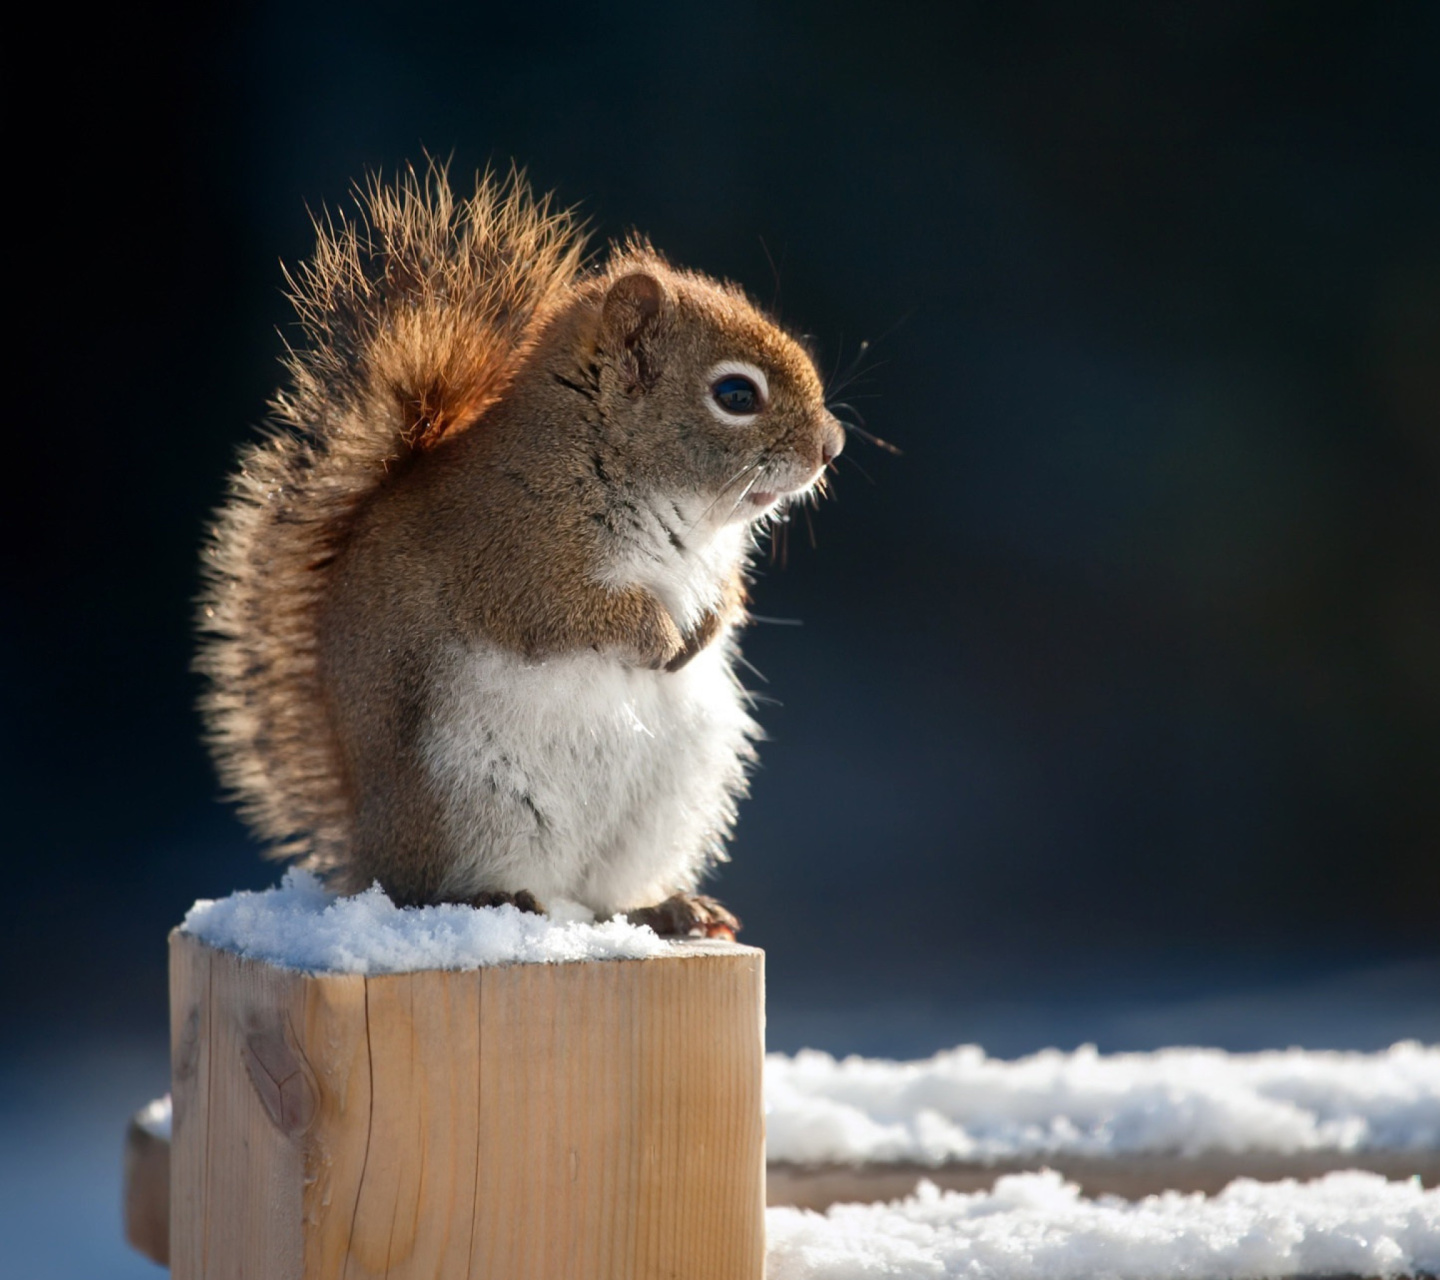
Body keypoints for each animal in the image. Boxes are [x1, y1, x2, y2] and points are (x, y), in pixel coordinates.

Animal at [197, 164, 840, 933]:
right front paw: (658, 638)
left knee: (607, 899)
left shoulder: (714, 565)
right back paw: (495, 899)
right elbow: (567, 614)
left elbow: (727, 598)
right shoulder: (509, 556)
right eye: (737, 394)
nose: (832, 446)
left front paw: (702, 633)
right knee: (432, 891)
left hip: (663, 809)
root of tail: (366, 857)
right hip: (462, 804)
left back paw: (671, 909)